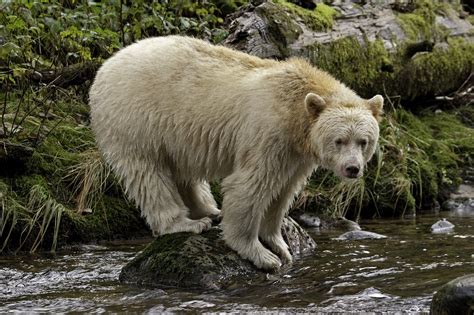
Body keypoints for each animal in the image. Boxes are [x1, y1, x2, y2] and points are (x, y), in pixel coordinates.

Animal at [90, 35, 386, 272]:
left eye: (363, 141)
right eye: (339, 140)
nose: (352, 169)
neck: (294, 111)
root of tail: (105, 67)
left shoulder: (295, 154)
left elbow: (283, 191)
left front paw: (280, 245)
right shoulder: (267, 135)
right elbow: (251, 186)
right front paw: (262, 255)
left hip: (175, 134)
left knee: (182, 171)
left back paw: (208, 210)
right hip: (137, 120)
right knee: (149, 175)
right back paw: (186, 223)